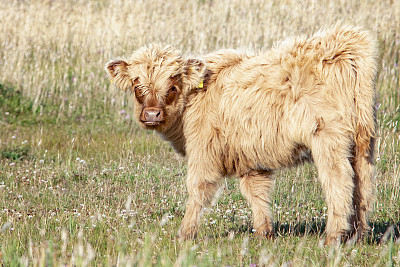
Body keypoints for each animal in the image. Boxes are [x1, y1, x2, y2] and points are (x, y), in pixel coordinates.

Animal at [104, 25, 376, 245]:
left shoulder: (203, 151)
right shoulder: (250, 158)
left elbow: (198, 189)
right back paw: (358, 235)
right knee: (362, 183)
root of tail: (344, 44)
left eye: (172, 86)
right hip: (363, 138)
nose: (152, 114)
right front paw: (265, 233)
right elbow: (257, 194)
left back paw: (333, 237)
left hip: (328, 137)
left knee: (339, 181)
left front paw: (184, 234)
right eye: (137, 85)